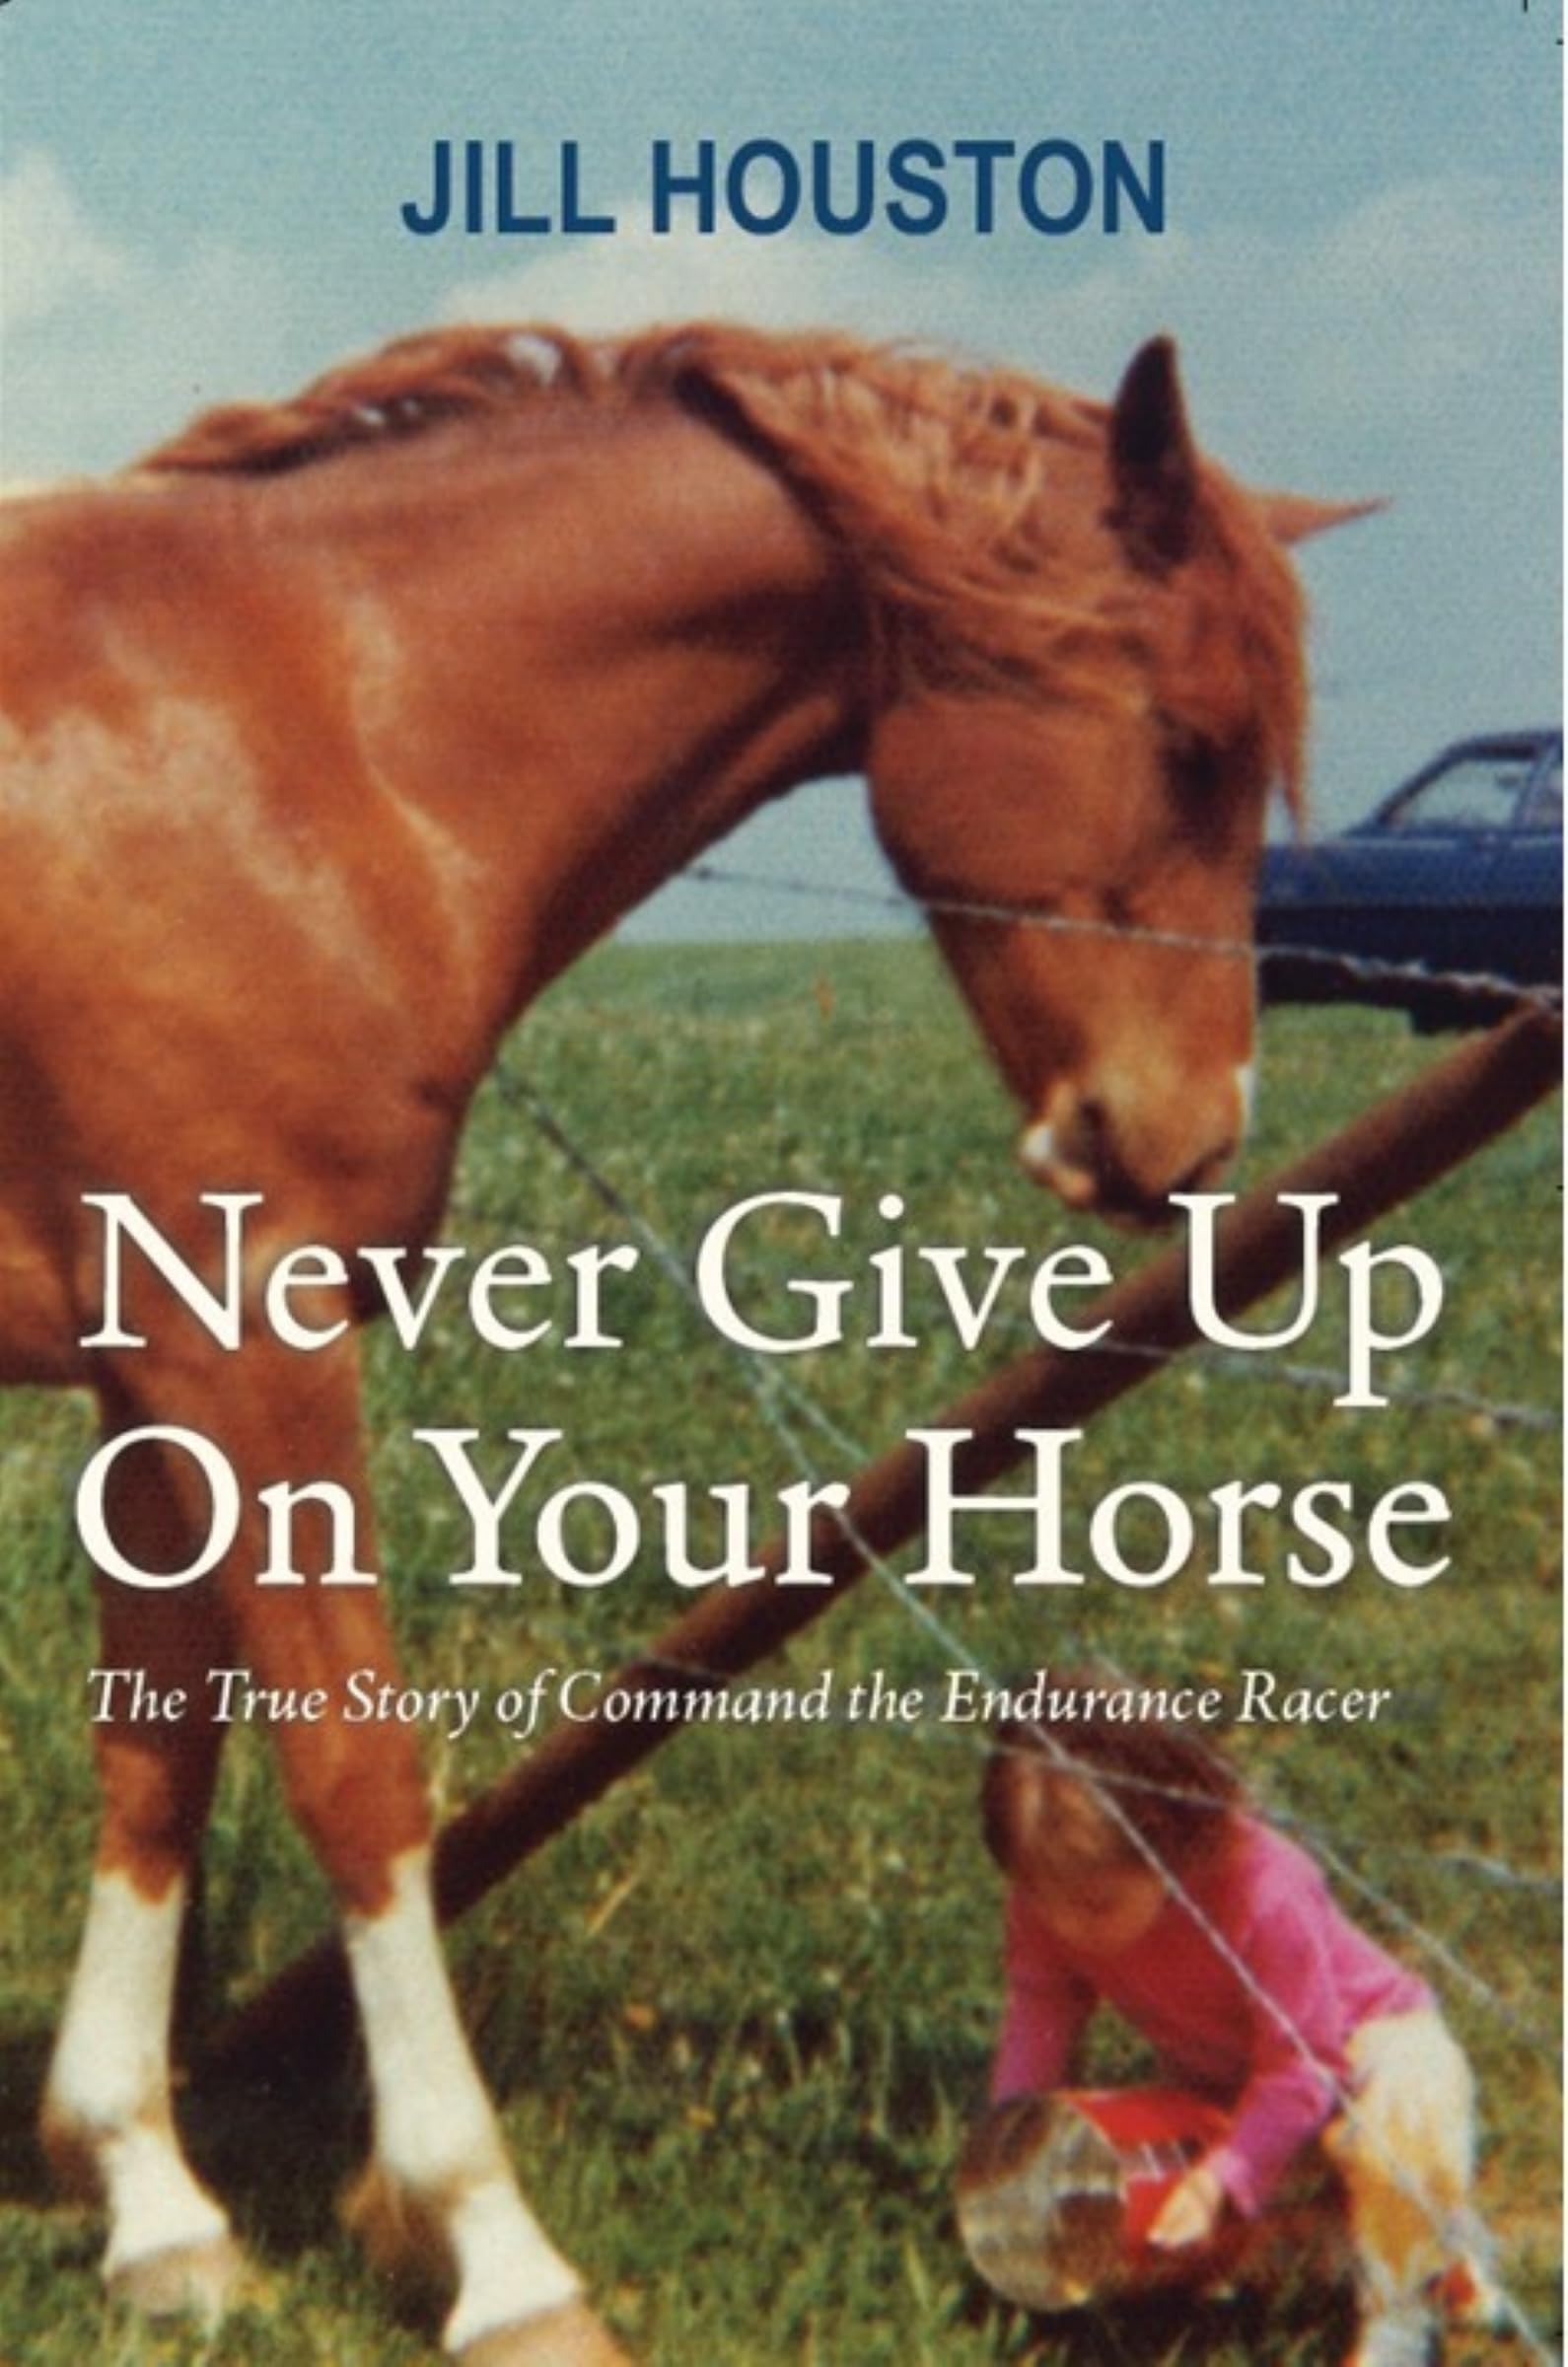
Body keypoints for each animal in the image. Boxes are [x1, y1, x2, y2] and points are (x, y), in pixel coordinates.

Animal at [0, 319, 1360, 2363]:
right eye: (1190, 738)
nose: (1188, 1141)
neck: (292, 728)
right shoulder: (250, 1351)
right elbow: (354, 1771)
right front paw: (494, 2252)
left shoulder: (155, 1369)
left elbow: (157, 1751)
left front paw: (150, 2202)